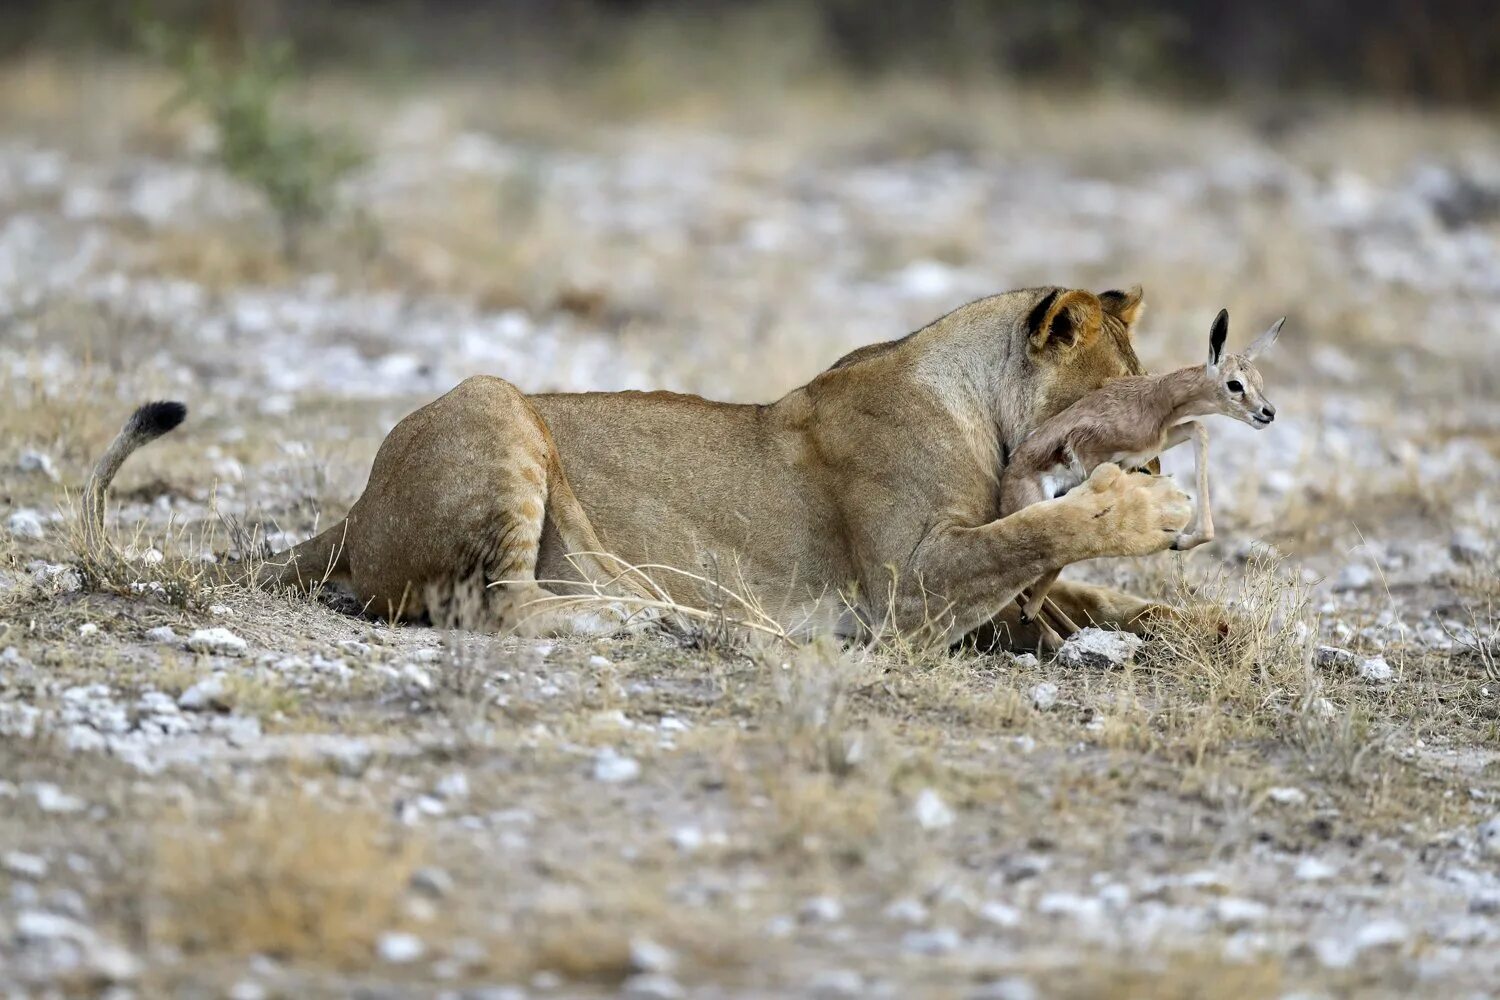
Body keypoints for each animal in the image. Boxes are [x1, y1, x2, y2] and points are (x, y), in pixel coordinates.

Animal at [1002, 308, 1284, 644]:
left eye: (1259, 380)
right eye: (1235, 384)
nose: (1268, 412)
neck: (1155, 398)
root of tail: (1007, 480)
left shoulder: (1146, 451)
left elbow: (1198, 428)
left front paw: (1180, 541)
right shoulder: (1090, 454)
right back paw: (1047, 628)